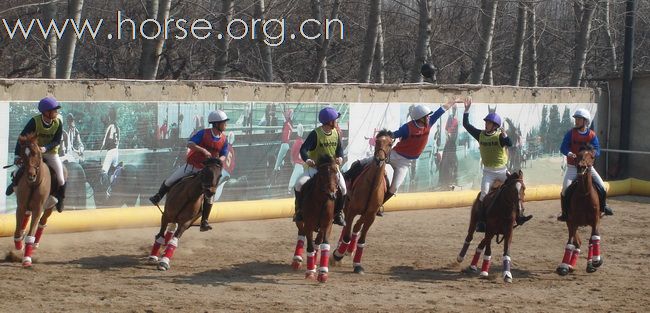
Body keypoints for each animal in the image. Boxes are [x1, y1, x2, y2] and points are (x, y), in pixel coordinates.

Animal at [12, 132, 63, 266]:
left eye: (36, 153)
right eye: (23, 154)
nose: (31, 175)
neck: (33, 184)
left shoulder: (38, 209)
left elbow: (31, 234)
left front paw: (27, 259)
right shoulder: (21, 206)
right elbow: (18, 231)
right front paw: (19, 245)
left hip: (49, 207)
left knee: (42, 223)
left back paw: (35, 244)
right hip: (27, 206)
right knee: (26, 217)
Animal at [332, 128, 392, 272]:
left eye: (390, 144)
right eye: (377, 141)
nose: (379, 159)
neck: (372, 185)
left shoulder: (371, 215)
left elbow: (361, 239)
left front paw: (357, 264)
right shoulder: (352, 210)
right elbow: (347, 234)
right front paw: (338, 254)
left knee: (356, 227)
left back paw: (349, 250)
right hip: (347, 207)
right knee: (348, 228)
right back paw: (341, 250)